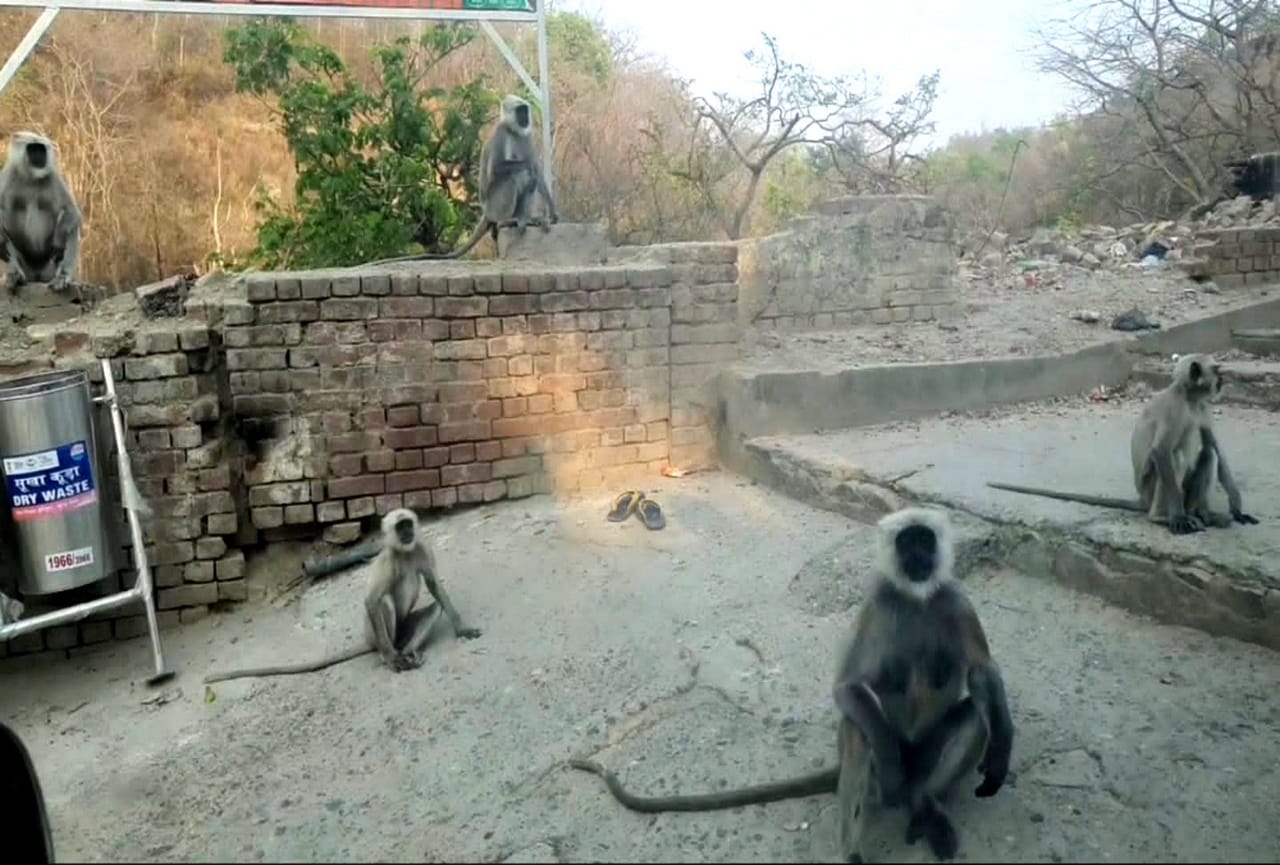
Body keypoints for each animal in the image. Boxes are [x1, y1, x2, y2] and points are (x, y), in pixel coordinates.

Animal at [0, 131, 82, 293]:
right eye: (33, 149)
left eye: (41, 149)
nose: (40, 156)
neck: (30, 177)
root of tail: (37, 275)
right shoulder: (8, 176)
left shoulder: (53, 177)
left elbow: (72, 212)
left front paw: (59, 240)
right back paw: (14, 276)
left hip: (50, 265)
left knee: (70, 228)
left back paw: (62, 277)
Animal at [204, 508, 480, 685]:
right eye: (399, 527)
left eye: (408, 525)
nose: (406, 533)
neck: (405, 552)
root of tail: (373, 641)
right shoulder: (388, 559)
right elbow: (372, 600)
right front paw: (392, 661)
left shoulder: (421, 547)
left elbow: (434, 585)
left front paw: (462, 628)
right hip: (379, 634)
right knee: (384, 603)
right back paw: (390, 655)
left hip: (404, 629)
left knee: (434, 608)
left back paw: (411, 651)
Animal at [364, 94, 558, 266]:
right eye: (520, 111)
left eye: (525, 110)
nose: (526, 117)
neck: (512, 131)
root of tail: (486, 211)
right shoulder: (501, 132)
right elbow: (498, 169)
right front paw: (528, 165)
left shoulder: (525, 136)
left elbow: (538, 173)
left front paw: (553, 212)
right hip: (494, 205)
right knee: (515, 176)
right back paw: (506, 220)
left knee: (529, 180)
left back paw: (525, 218)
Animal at [832, 507, 1012, 862]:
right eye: (906, 542)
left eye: (925, 539)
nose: (918, 556)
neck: (915, 599)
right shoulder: (877, 603)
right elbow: (846, 686)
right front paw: (890, 767)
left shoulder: (955, 598)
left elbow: (981, 672)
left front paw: (1000, 754)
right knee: (857, 726)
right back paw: (855, 850)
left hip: (927, 754)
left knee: (974, 716)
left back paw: (924, 806)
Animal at [988, 354, 1259, 535]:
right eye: (1216, 370)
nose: (1222, 380)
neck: (1189, 399)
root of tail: (1142, 499)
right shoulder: (1174, 409)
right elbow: (1161, 452)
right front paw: (1178, 518)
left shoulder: (1202, 408)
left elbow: (1215, 446)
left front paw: (1237, 509)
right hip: (1151, 488)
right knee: (1175, 459)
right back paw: (1163, 517)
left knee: (1208, 454)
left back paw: (1204, 514)